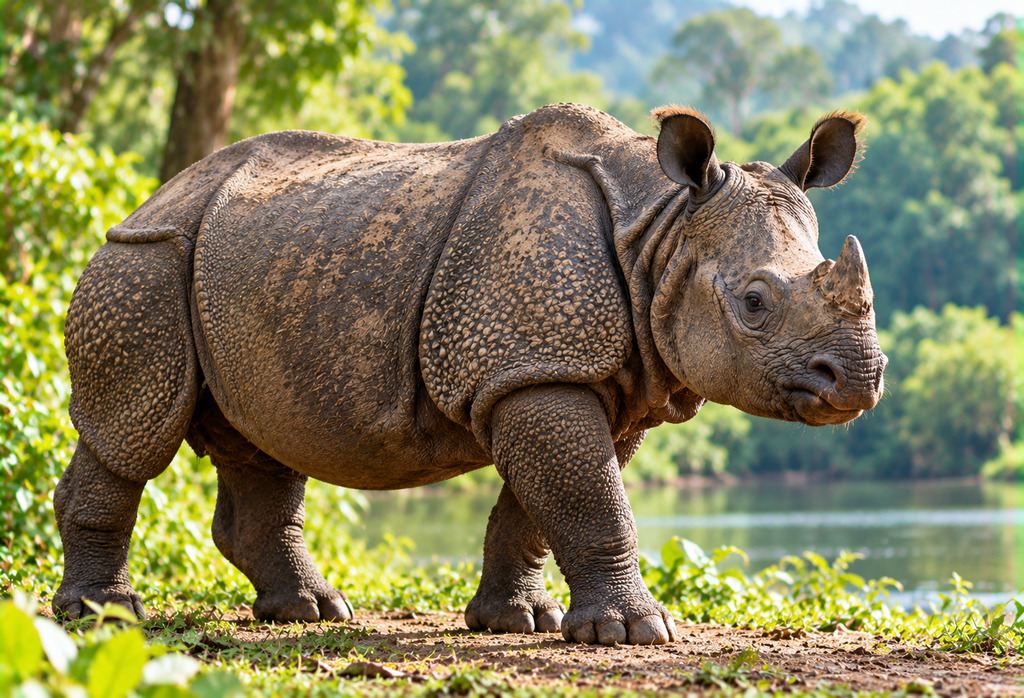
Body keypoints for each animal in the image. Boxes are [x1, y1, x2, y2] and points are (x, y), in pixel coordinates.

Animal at [53, 103, 885, 645]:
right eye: (754, 302)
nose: (860, 378)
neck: (660, 230)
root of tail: (152, 195)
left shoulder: (569, 376)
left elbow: (544, 507)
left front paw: (519, 622)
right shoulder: (539, 368)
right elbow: (593, 501)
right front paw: (635, 633)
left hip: (235, 264)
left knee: (260, 440)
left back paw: (312, 613)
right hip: (144, 262)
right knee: (133, 434)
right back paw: (103, 617)